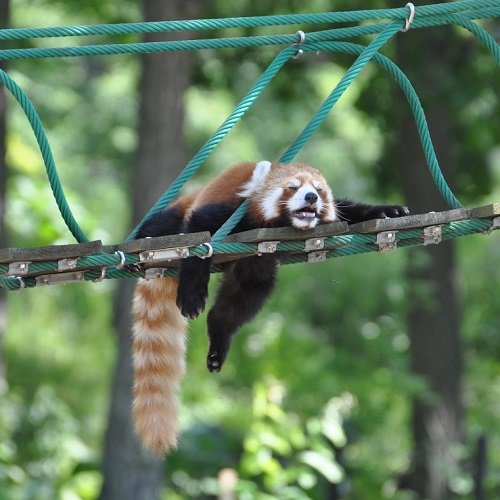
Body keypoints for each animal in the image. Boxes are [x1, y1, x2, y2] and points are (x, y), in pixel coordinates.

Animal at [132, 161, 406, 454]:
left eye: (319, 190)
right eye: (293, 188)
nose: (312, 197)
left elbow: (348, 208)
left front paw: (386, 211)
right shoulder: (230, 210)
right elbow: (198, 239)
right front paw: (193, 291)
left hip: (255, 264)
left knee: (244, 297)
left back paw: (219, 335)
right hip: (180, 212)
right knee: (163, 224)